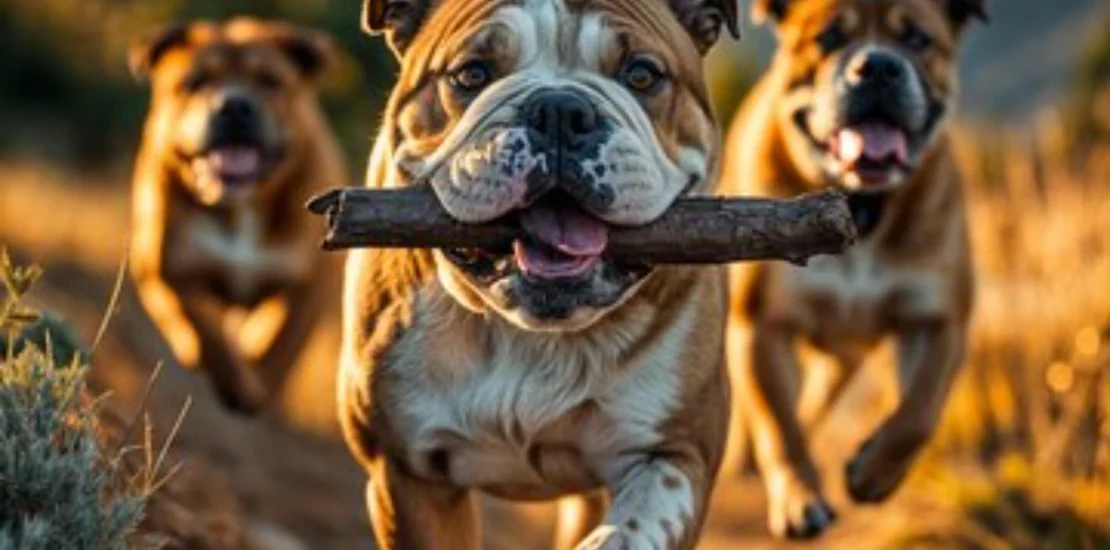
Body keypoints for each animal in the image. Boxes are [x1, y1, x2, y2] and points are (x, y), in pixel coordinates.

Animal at [129, 19, 346, 415]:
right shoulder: (167, 269)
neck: (243, 205)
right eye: (194, 81)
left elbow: (283, 340)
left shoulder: (312, 281)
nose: (233, 106)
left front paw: (256, 382)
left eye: (270, 80)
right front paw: (232, 380)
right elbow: (204, 332)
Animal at [337, 1, 737, 550]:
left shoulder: (679, 453)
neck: (532, 335)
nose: (560, 110)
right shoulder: (407, 475)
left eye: (642, 74)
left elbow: (635, 523)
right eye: (472, 74)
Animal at [714, 0, 985, 542]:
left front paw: (873, 474)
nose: (877, 66)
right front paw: (799, 499)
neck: (862, 205)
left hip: (846, 352)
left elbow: (918, 412)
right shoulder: (761, 324)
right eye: (828, 38)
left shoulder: (938, 318)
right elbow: (777, 422)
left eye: (919, 39)